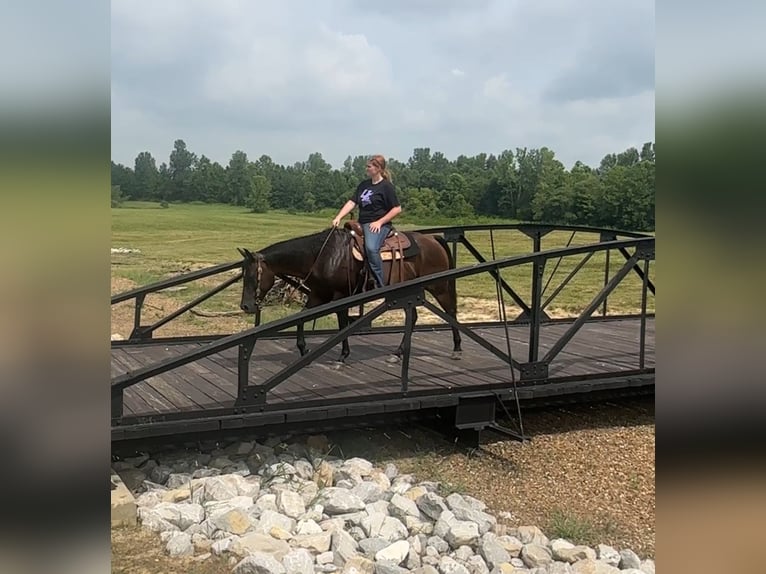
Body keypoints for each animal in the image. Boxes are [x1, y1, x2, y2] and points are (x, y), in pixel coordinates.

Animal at [238, 224, 462, 364]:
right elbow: (302, 317)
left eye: (252, 276)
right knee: (414, 316)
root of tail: (433, 239)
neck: (322, 256)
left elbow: (342, 323)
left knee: (450, 311)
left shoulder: (340, 296)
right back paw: (398, 353)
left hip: (439, 287)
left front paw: (343, 355)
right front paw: (303, 349)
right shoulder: (319, 296)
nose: (246, 306)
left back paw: (457, 349)